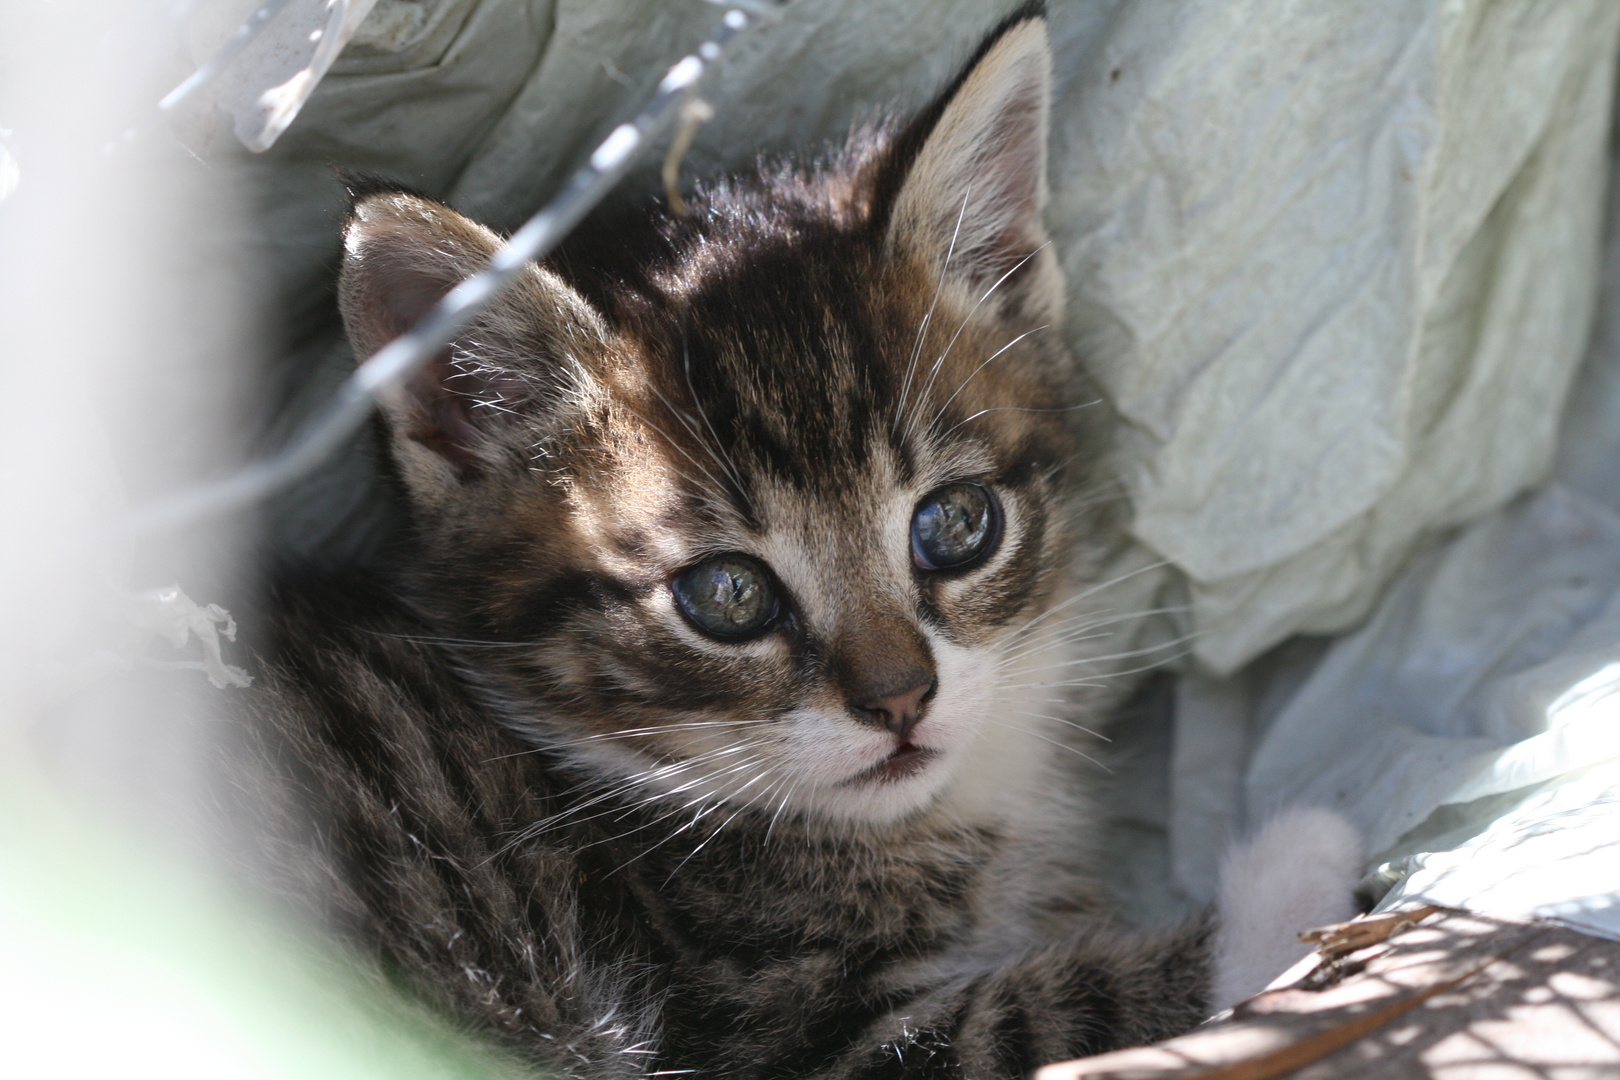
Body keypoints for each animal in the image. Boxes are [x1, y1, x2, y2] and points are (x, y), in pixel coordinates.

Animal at [239, 10, 1354, 1080]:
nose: (902, 702)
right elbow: (1056, 1010)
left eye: (956, 525)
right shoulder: (773, 1037)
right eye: (726, 595)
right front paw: (1297, 869)